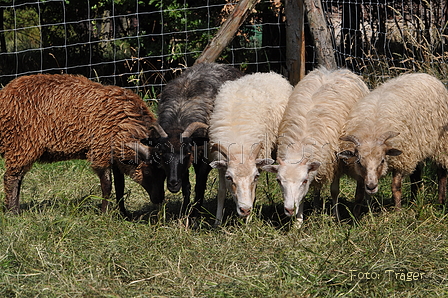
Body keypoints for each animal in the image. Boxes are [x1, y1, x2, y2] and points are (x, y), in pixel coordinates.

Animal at [134, 62, 243, 217]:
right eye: (161, 153)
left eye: (187, 152)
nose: (173, 184)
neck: (180, 115)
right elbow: (186, 186)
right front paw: (184, 211)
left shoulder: (204, 159)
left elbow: (200, 185)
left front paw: (196, 213)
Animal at [207, 72, 292, 225]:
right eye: (229, 177)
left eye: (256, 176)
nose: (245, 210)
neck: (239, 150)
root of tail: (267, 73)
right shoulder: (222, 166)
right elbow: (221, 192)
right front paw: (217, 222)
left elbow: (253, 192)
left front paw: (248, 222)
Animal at [260, 67, 370, 226]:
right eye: (279, 181)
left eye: (304, 180)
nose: (289, 210)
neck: (300, 144)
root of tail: (332, 70)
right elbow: (303, 196)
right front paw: (298, 222)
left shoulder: (335, 164)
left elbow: (334, 191)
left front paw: (336, 217)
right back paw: (316, 206)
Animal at [338, 72, 448, 217]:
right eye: (359, 162)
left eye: (382, 161)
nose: (371, 187)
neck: (372, 132)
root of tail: (424, 74)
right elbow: (359, 192)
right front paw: (355, 215)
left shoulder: (400, 161)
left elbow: (395, 188)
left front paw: (398, 212)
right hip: (416, 148)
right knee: (416, 175)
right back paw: (414, 201)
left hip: (440, 144)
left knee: (441, 173)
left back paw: (440, 203)